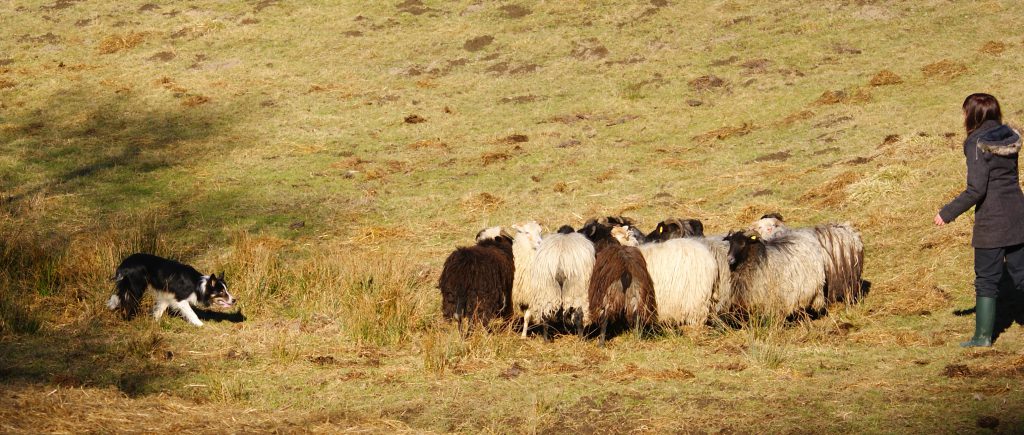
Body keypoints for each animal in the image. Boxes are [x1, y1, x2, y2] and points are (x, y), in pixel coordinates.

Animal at [107, 250, 236, 325]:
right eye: (221, 292)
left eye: (226, 290)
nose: (234, 300)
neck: (198, 285)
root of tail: (124, 264)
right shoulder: (180, 299)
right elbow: (192, 313)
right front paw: (200, 325)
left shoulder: (168, 295)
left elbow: (160, 309)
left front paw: (155, 321)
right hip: (135, 288)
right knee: (127, 303)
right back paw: (127, 319)